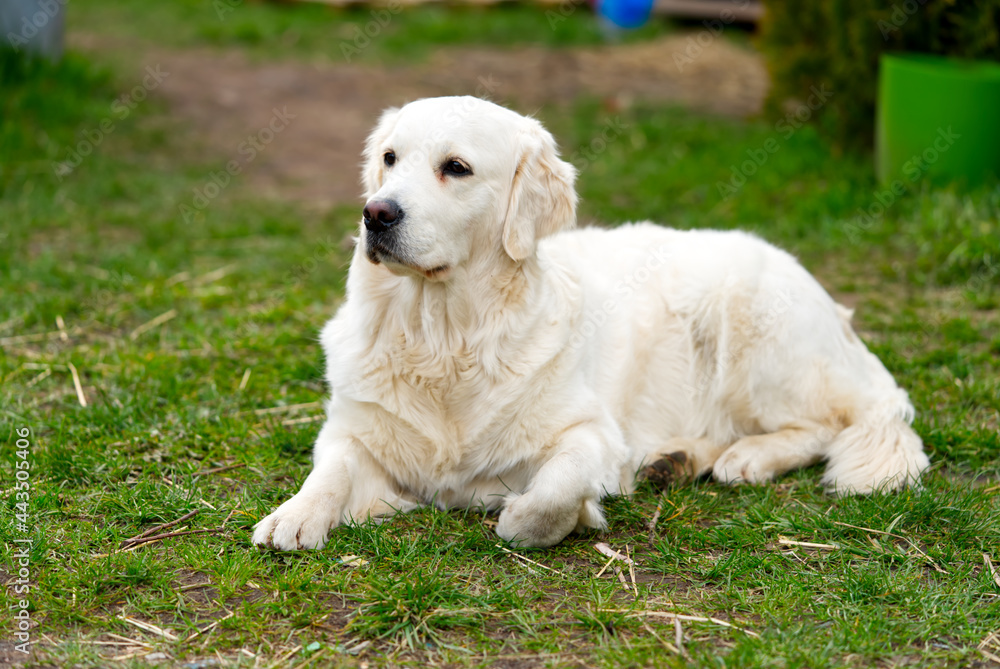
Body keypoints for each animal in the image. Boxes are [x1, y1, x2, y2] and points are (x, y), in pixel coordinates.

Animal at [252, 96, 928, 552]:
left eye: (457, 167)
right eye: (390, 159)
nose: (376, 214)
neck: (444, 336)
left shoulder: (592, 432)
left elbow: (553, 490)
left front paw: (540, 517)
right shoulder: (355, 429)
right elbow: (332, 468)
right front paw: (296, 514)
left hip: (752, 332)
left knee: (832, 422)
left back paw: (751, 457)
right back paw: (676, 460)